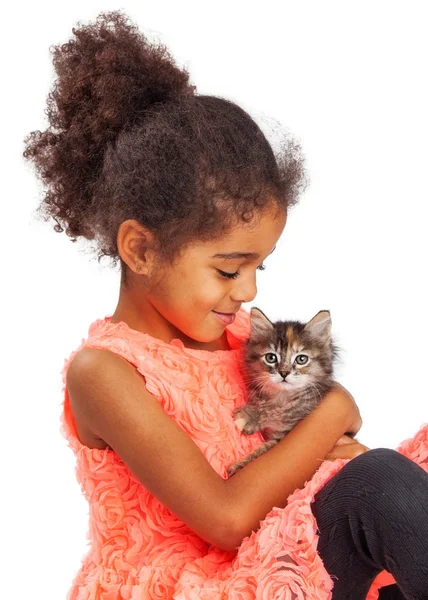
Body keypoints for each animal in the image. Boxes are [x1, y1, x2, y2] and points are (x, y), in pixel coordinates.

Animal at [227, 308, 344, 476]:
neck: (282, 399)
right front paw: (248, 416)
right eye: (271, 357)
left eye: (301, 359)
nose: (284, 373)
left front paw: (238, 466)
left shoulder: (284, 437)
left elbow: (260, 453)